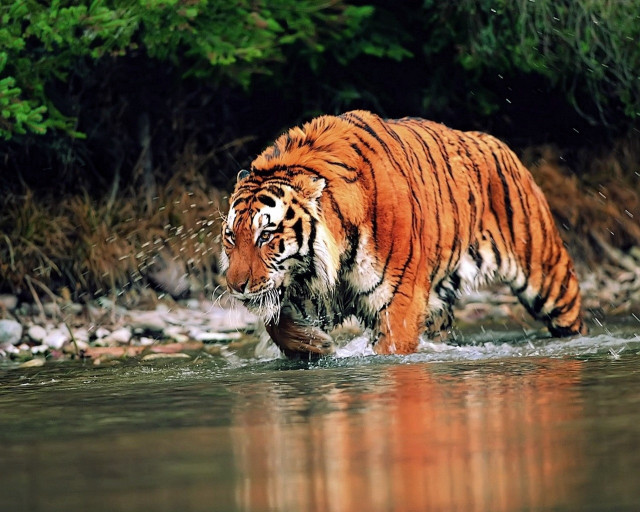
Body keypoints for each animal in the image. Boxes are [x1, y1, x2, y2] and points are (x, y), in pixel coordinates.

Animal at [220, 110, 587, 358]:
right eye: (231, 237)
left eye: (266, 236)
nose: (235, 286)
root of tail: (496, 143)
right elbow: (275, 323)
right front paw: (315, 346)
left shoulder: (398, 303)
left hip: (548, 277)